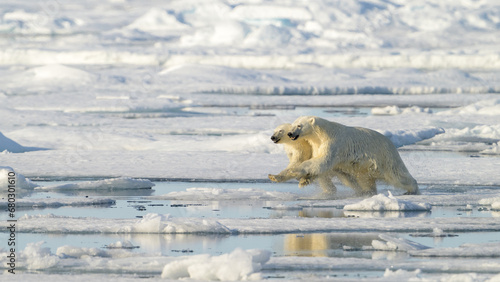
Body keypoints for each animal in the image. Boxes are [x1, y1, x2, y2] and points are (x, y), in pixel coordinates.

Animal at [272, 115, 420, 195]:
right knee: (364, 180)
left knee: (397, 174)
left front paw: (296, 171)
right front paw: (276, 176)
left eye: (299, 125)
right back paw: (366, 191)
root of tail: (390, 143)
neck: (321, 134)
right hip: (364, 167)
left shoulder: (333, 143)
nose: (290, 134)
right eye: (293, 126)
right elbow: (316, 163)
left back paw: (412, 189)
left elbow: (322, 161)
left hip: (384, 157)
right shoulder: (316, 145)